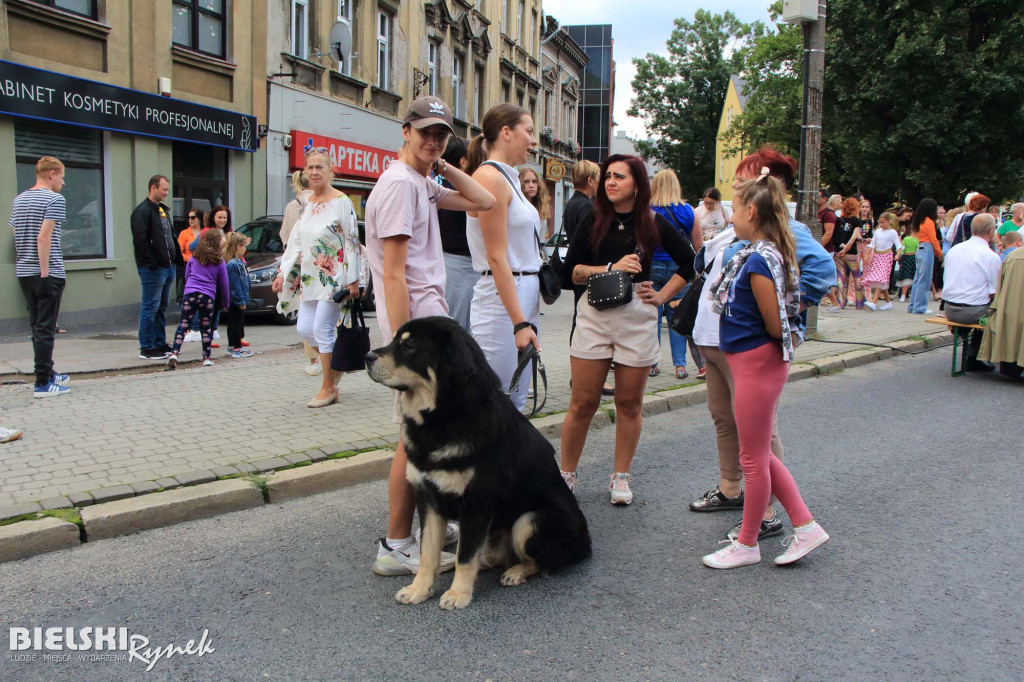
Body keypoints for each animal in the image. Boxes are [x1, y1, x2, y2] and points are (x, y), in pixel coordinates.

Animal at [368, 315, 593, 606]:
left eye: (408, 347)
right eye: (395, 340)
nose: (367, 357)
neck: (445, 417)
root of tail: (586, 542)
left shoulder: (476, 502)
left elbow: (464, 556)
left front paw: (458, 594)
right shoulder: (429, 498)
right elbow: (429, 551)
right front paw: (420, 589)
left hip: (528, 520)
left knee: (538, 560)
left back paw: (515, 572)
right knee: (493, 553)